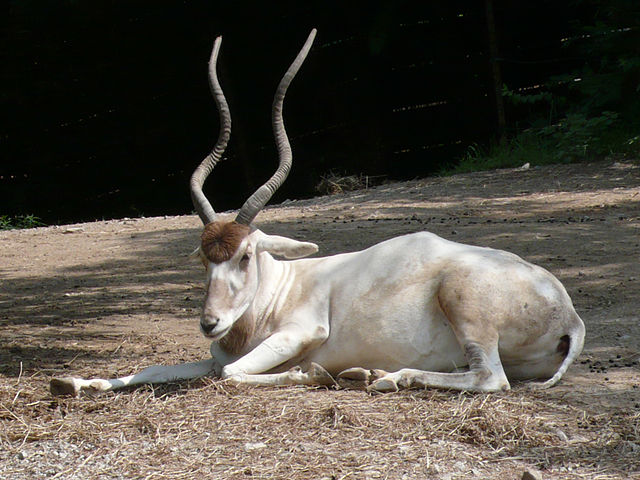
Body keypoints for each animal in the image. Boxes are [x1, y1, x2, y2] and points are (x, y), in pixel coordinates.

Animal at [50, 29, 585, 397]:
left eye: (245, 256)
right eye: (204, 259)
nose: (209, 323)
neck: (278, 289)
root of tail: (569, 312)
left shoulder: (300, 332)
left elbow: (231, 373)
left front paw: (310, 373)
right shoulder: (213, 354)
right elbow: (163, 368)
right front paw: (78, 383)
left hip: (465, 307)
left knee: (491, 378)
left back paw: (382, 377)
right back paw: (365, 372)